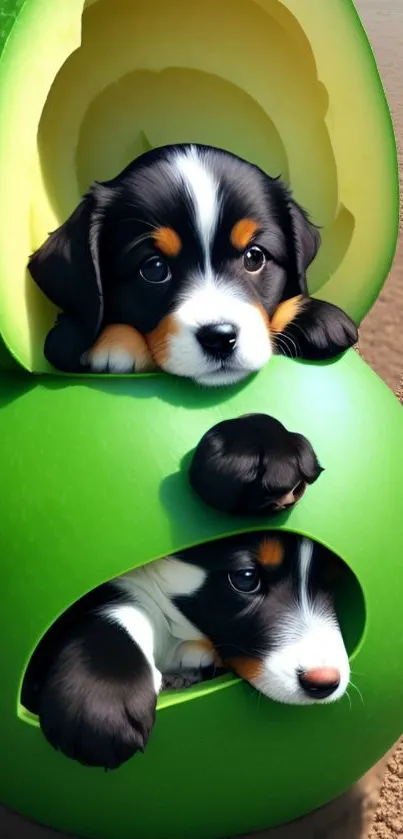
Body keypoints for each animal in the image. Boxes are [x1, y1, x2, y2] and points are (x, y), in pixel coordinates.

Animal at [28, 143, 358, 382]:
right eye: (154, 268)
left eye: (255, 256)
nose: (220, 337)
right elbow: (72, 333)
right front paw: (113, 344)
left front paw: (321, 317)